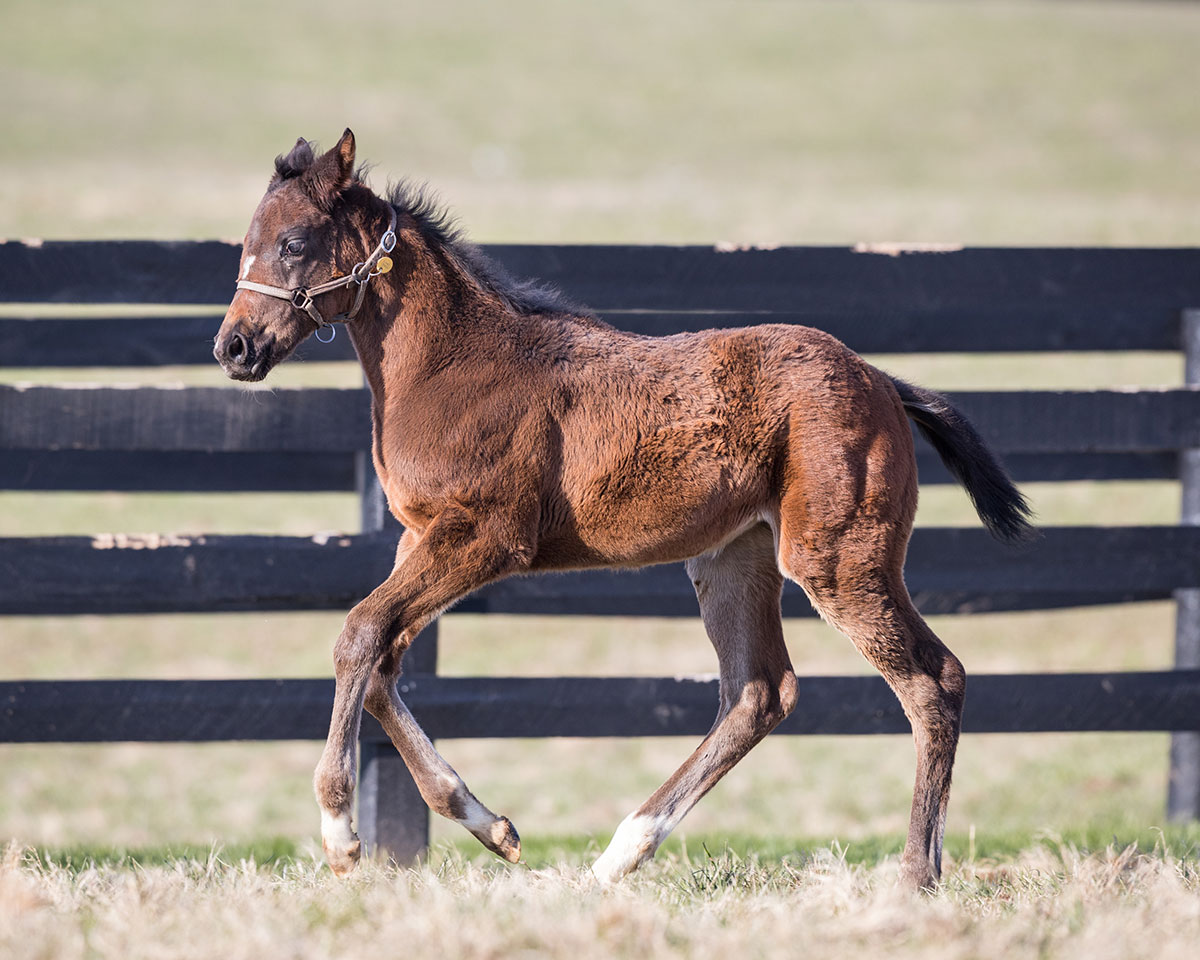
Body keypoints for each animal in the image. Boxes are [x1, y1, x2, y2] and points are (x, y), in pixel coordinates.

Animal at [213, 131, 1032, 888]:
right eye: (247, 243)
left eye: (293, 243)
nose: (235, 347)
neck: (451, 366)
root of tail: (882, 381)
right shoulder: (419, 538)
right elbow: (383, 661)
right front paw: (492, 827)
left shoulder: (486, 537)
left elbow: (358, 635)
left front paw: (340, 836)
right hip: (733, 557)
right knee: (759, 692)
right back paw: (619, 855)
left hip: (836, 558)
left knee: (933, 681)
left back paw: (916, 875)